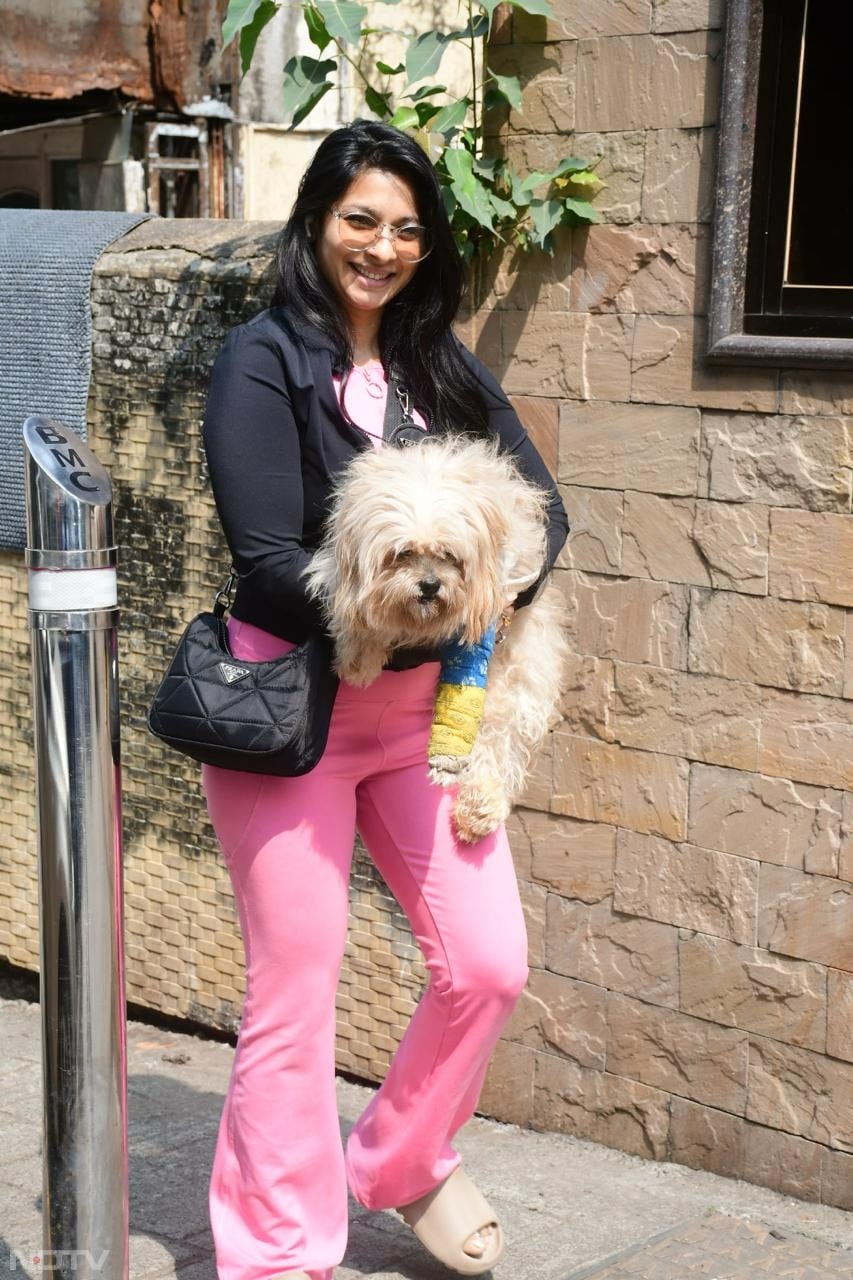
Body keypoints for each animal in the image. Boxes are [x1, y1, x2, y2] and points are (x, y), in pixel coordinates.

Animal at [302, 435, 568, 844]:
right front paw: (360, 657)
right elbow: (358, 609)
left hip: (515, 680)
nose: (429, 586)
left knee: (497, 740)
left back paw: (478, 807)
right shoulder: (339, 565)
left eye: (449, 555)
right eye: (402, 553)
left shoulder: (496, 591)